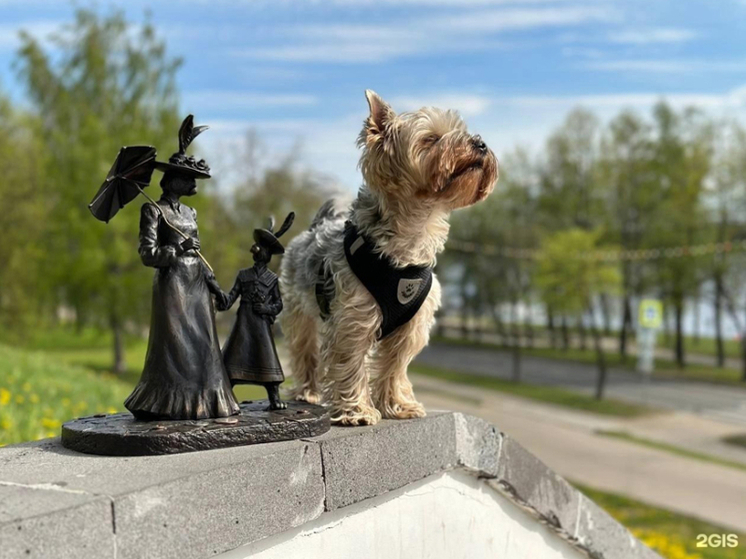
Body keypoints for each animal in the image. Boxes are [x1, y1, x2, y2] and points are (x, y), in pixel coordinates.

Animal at [276, 91, 496, 424]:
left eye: (465, 131)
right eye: (431, 139)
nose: (480, 143)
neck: (412, 237)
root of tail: (316, 225)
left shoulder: (411, 327)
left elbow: (395, 364)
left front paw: (396, 405)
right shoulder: (352, 319)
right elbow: (351, 362)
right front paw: (356, 410)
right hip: (298, 309)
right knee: (304, 351)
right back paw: (307, 393)